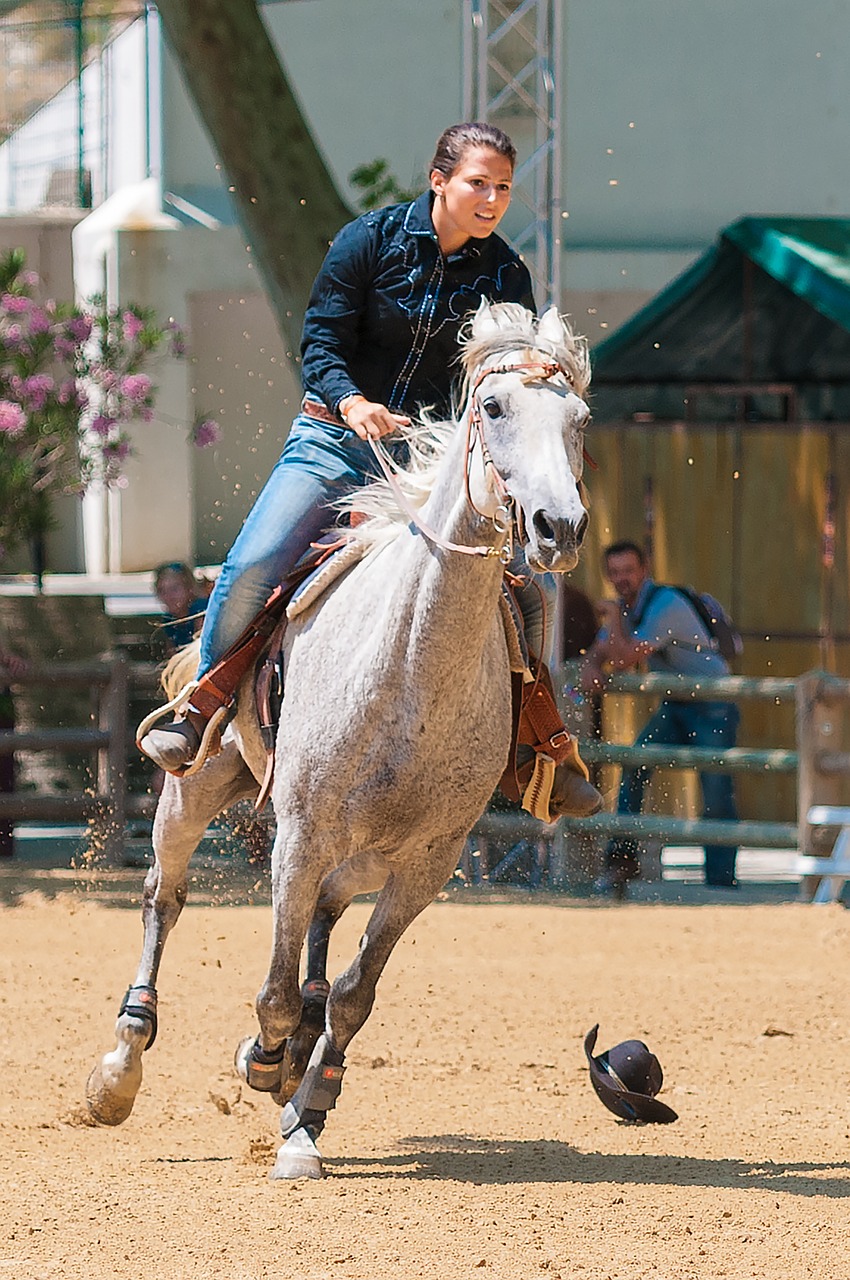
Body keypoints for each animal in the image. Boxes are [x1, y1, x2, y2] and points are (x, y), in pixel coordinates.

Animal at [84, 299, 591, 1177]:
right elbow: (275, 993)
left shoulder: (426, 865)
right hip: (197, 788)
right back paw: (122, 1065)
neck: (410, 668)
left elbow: (353, 993)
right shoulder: (299, 834)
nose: (558, 526)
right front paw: (266, 1064)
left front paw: (307, 1110)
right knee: (163, 896)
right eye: (493, 408)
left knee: (320, 932)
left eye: (579, 422)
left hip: (359, 855)